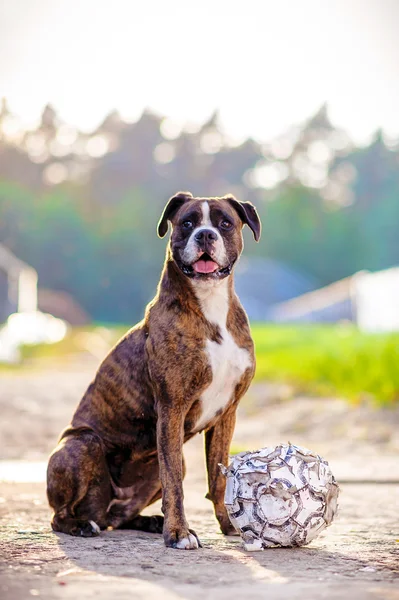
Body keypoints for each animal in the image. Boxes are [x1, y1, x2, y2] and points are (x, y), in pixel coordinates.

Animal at [47, 191, 262, 548]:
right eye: (187, 222)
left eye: (225, 223)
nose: (205, 235)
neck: (210, 305)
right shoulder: (172, 408)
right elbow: (173, 480)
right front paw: (177, 533)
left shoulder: (226, 414)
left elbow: (218, 477)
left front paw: (229, 524)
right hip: (81, 445)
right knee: (60, 516)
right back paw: (81, 525)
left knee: (119, 517)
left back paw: (148, 521)